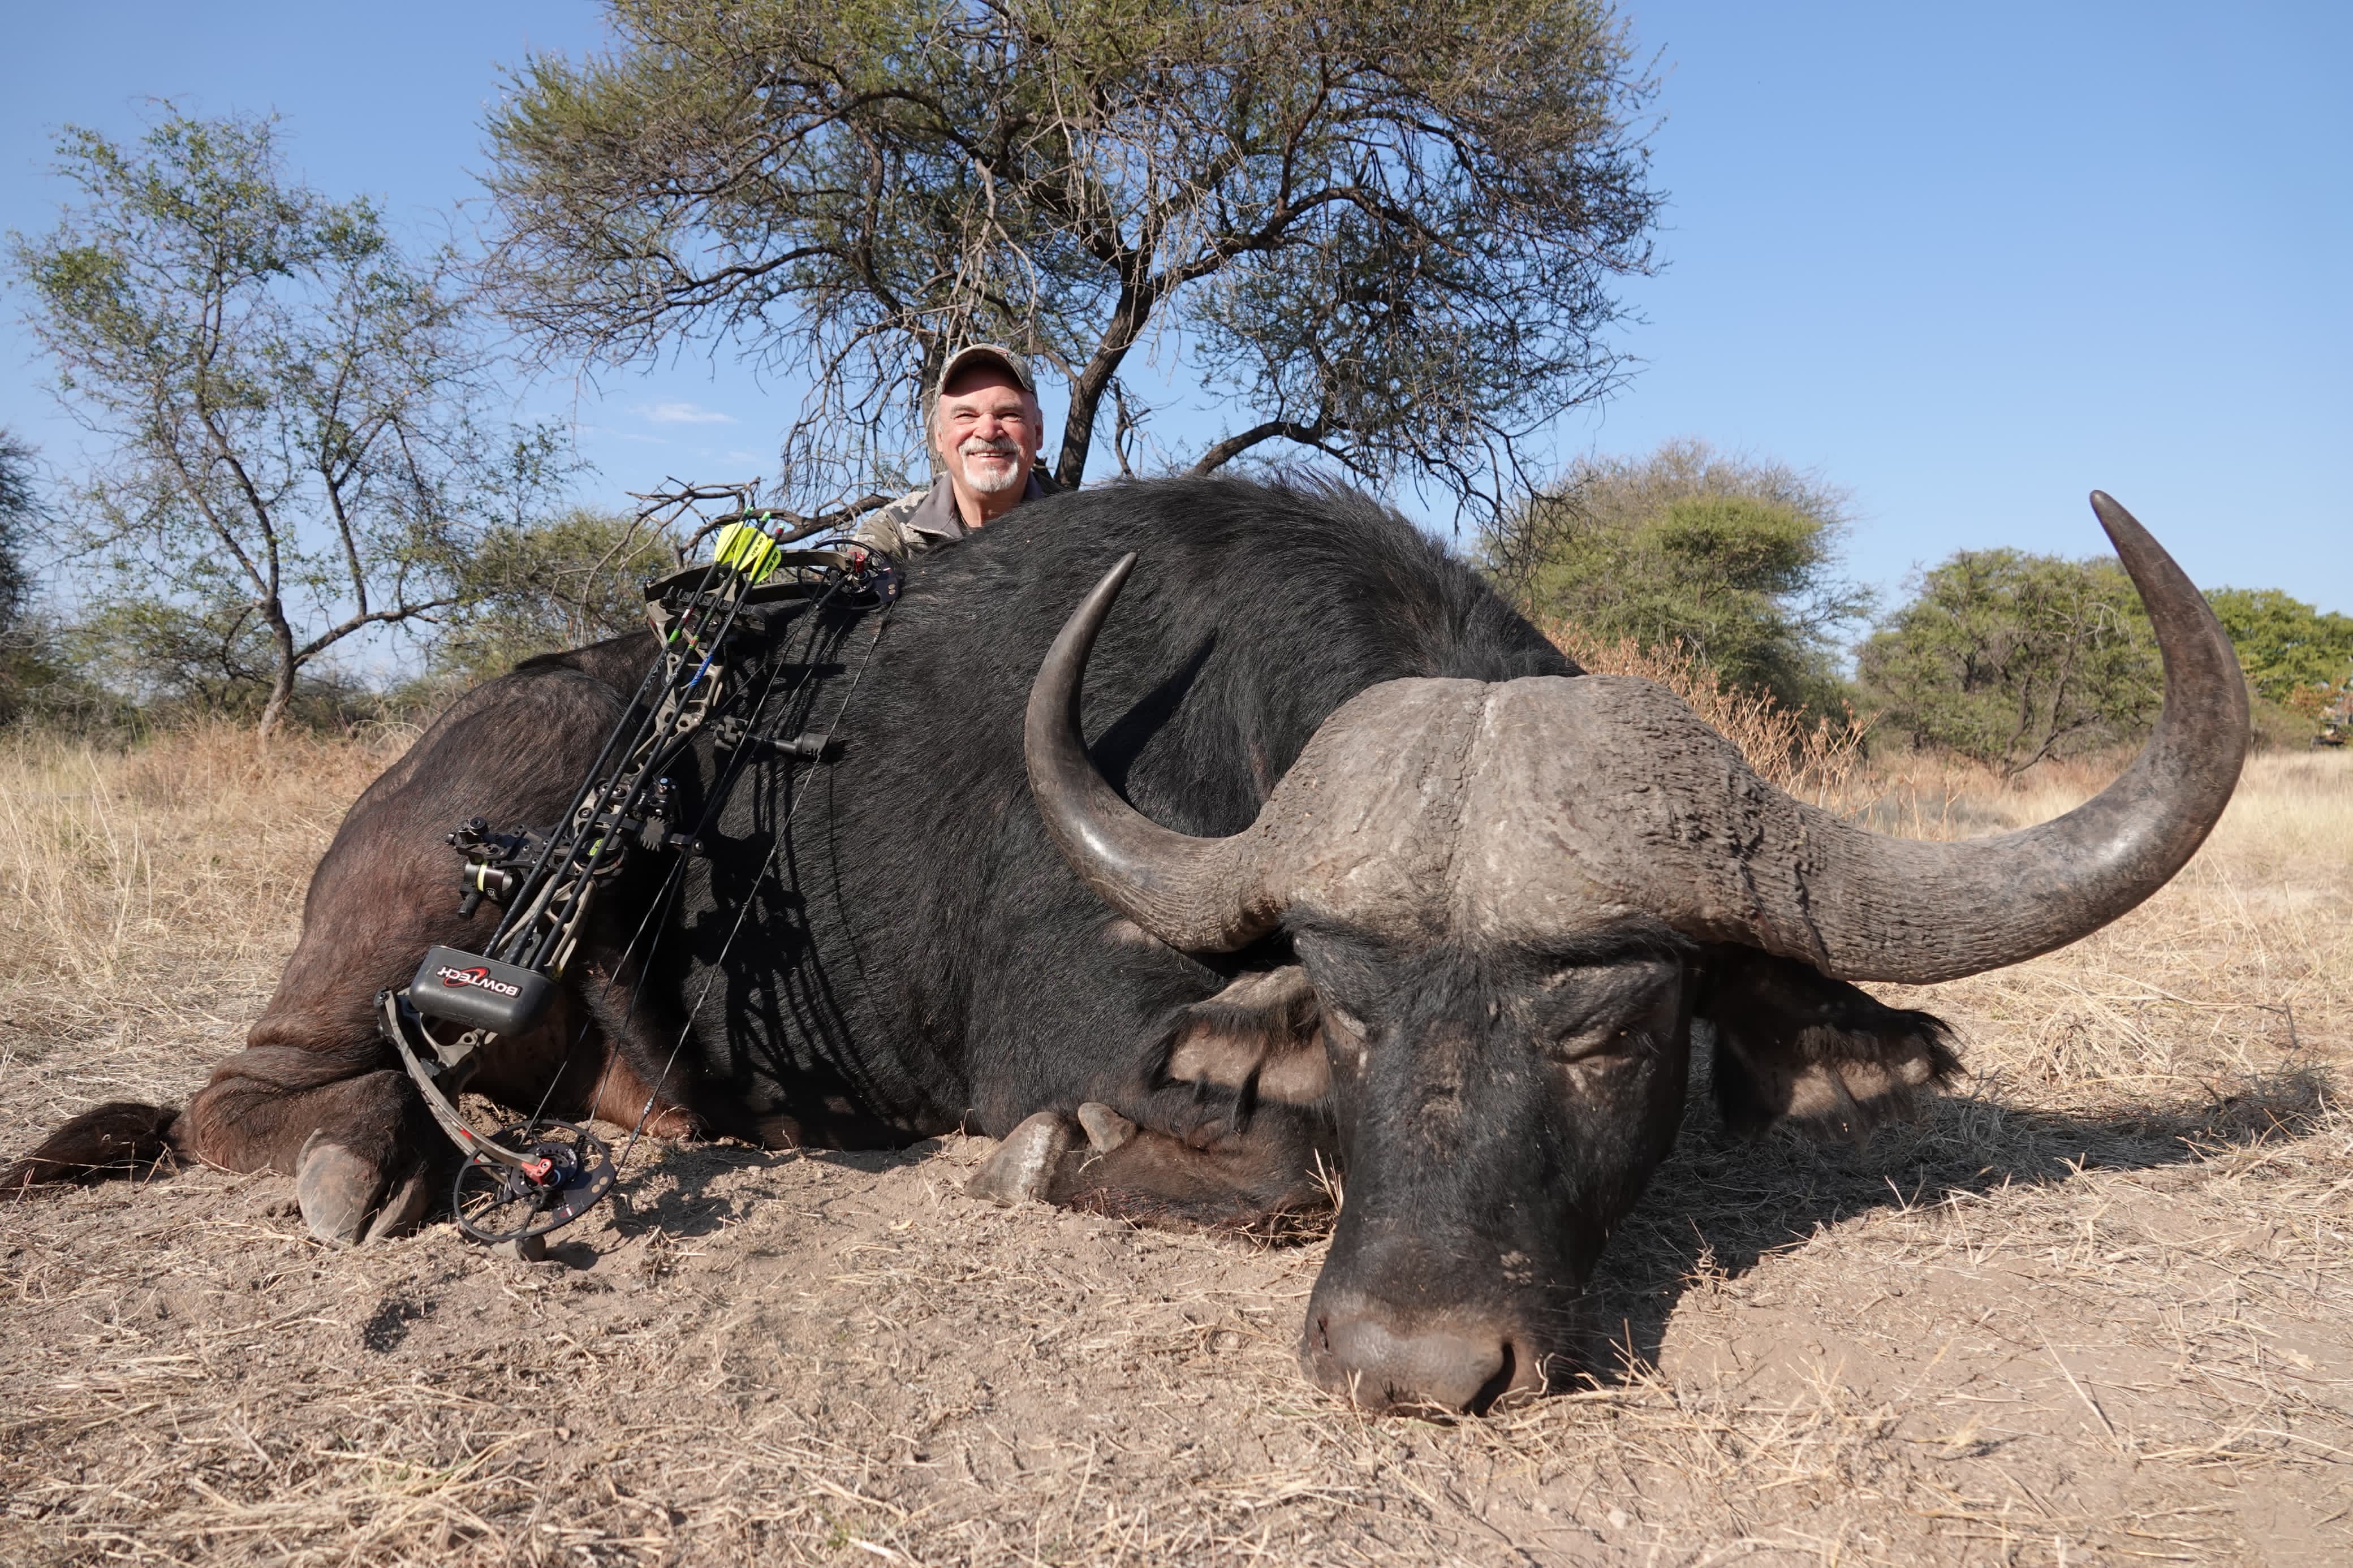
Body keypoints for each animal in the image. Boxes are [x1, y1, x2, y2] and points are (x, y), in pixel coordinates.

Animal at [5, 476, 2244, 1413]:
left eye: (1617, 1034)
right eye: (1343, 1016)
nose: (1414, 1368)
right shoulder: (1074, 1043)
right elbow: (1252, 1158)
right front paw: (1073, 1160)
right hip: (419, 911)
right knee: (244, 1096)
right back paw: (364, 1158)